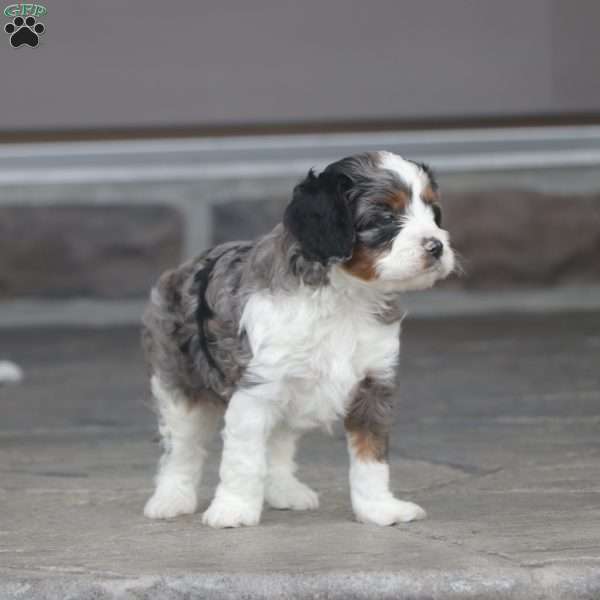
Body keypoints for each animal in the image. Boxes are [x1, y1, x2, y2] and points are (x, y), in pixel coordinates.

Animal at [142, 152, 454, 528]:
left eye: (433, 212)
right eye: (385, 216)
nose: (437, 247)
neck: (346, 297)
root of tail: (183, 269)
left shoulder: (374, 385)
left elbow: (371, 459)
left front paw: (379, 509)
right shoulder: (257, 388)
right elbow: (244, 460)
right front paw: (233, 509)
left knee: (278, 443)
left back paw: (283, 491)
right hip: (180, 385)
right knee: (181, 448)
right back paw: (171, 498)